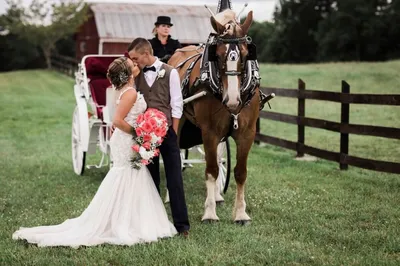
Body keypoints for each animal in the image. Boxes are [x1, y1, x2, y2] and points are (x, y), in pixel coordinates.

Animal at [169, 9, 260, 224]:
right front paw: (209, 213)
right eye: (216, 55)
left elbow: (240, 172)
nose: (233, 99)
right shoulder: (209, 132)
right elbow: (211, 170)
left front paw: (241, 213)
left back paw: (218, 196)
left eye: (246, 54)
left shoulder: (247, 133)